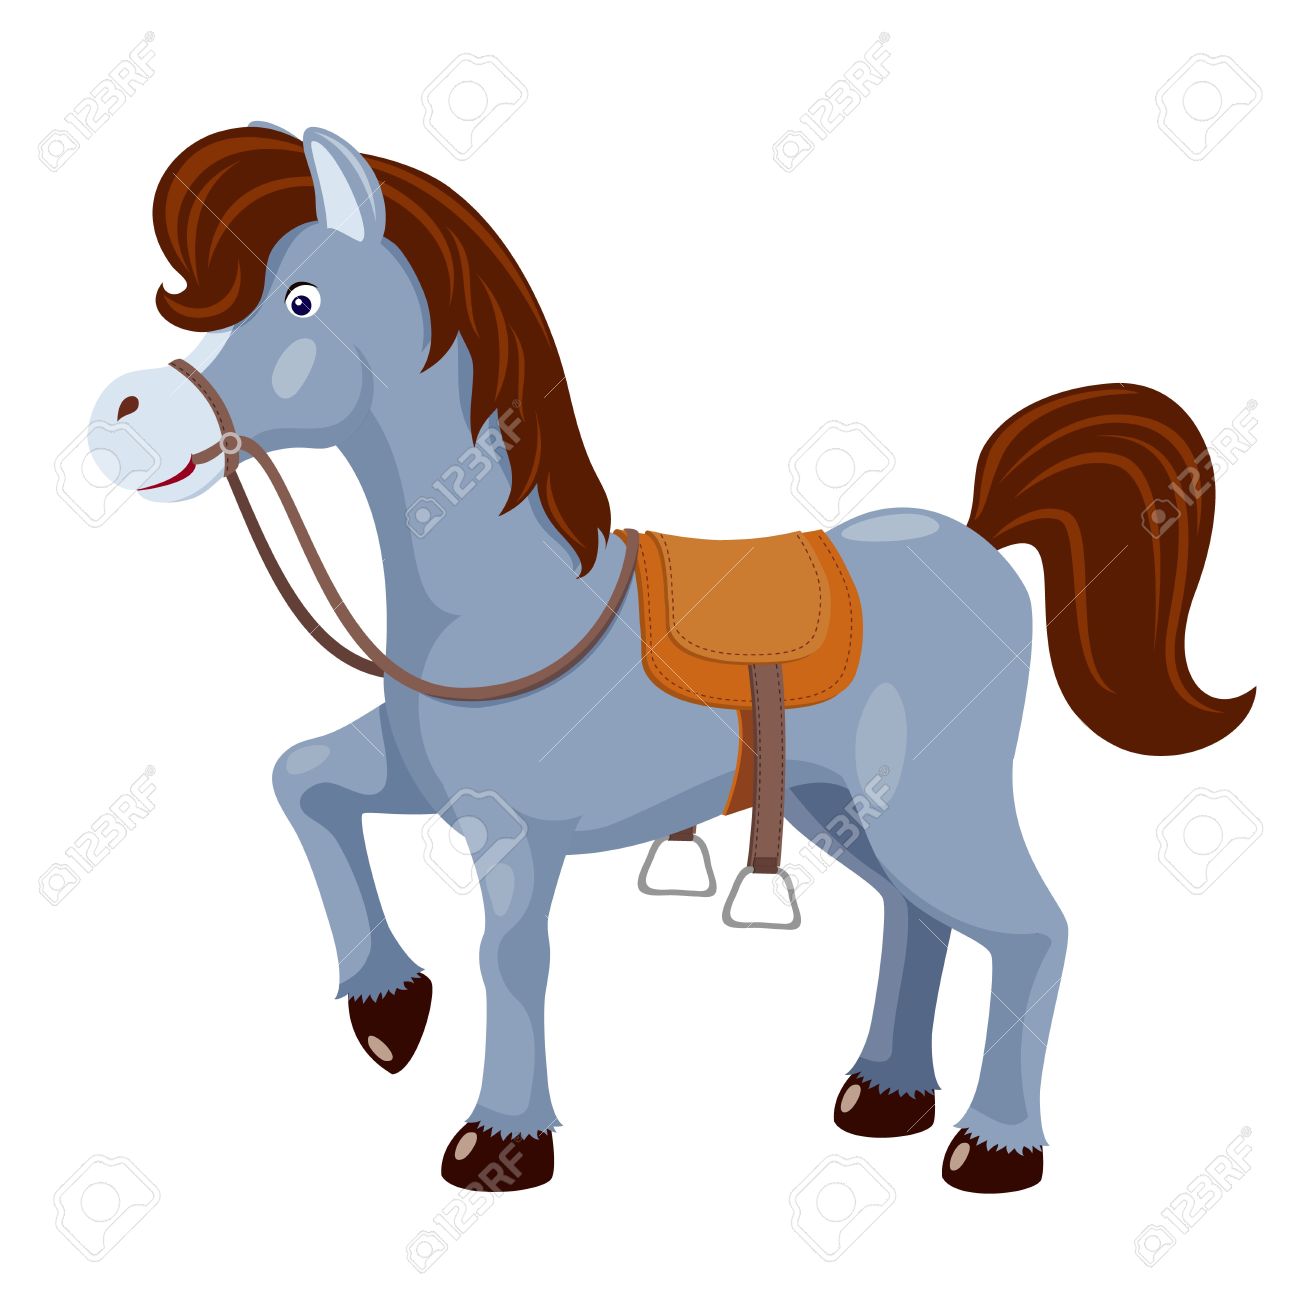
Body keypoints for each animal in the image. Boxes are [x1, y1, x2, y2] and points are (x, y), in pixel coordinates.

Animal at [87, 124, 1253, 1195]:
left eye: (300, 301)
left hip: (934, 805)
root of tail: (976, 539)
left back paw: (997, 1148)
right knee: (919, 920)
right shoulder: (418, 777)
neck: (507, 602)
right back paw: (883, 1095)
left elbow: (511, 961)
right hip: (841, 809)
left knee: (1032, 928)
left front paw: (501, 1142)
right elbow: (302, 781)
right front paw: (388, 1010)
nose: (120, 417)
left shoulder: (514, 832)